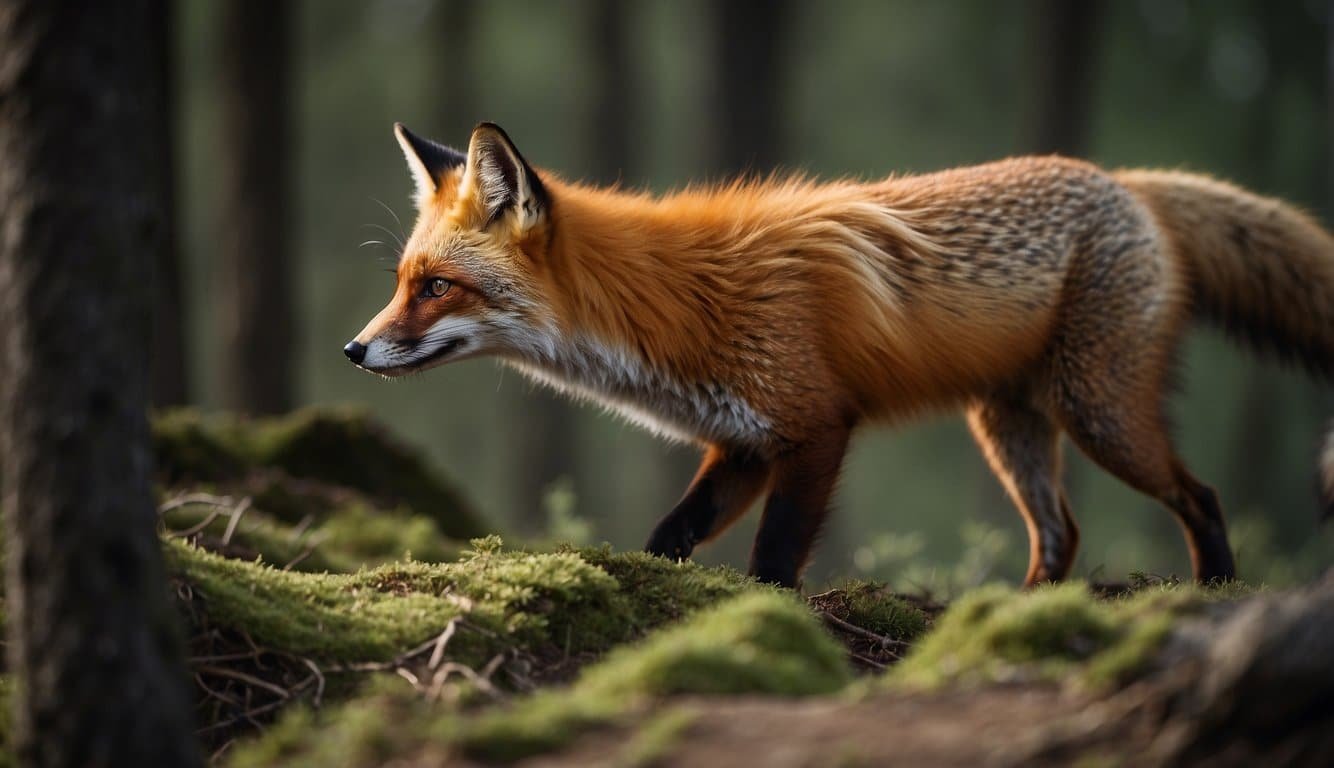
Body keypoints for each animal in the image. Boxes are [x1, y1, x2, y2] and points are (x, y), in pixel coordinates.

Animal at [345, 121, 1334, 589]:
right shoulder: (743, 443)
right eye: (402, 280)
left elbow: (776, 557)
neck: (666, 307)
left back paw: (1211, 593)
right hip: (1007, 424)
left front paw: (764, 621)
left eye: (436, 287)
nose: (353, 349)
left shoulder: (814, 427)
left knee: (1200, 497)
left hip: (1100, 414)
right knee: (1062, 534)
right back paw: (1016, 614)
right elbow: (672, 535)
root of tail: (1124, 182)